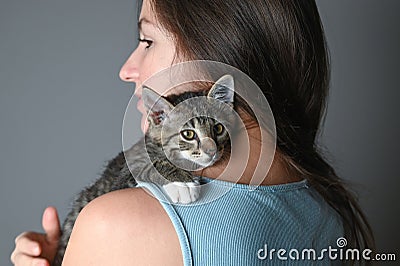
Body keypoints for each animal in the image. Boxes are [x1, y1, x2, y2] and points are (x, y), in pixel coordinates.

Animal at [52, 75, 234, 266]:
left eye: (218, 128)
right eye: (188, 134)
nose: (212, 151)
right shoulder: (124, 174)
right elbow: (152, 164)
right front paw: (182, 183)